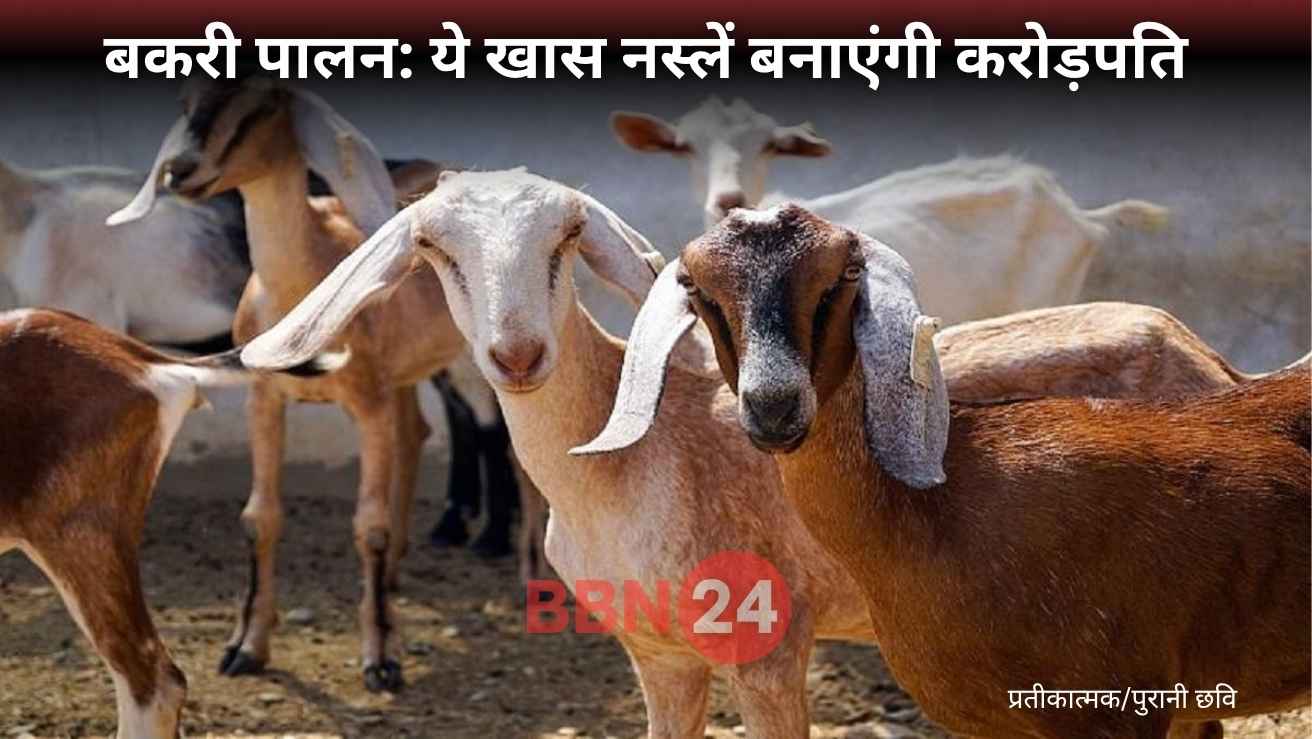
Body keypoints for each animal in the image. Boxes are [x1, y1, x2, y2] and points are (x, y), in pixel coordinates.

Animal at [106, 77, 470, 692]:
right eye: (186, 99)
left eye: (264, 102)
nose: (182, 169)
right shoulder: (264, 399)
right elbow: (260, 517)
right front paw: (245, 648)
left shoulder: (367, 404)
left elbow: (368, 525)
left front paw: (382, 660)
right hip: (403, 378)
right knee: (416, 433)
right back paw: (396, 578)